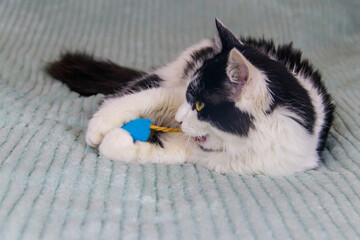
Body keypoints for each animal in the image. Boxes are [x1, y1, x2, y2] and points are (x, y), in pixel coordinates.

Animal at [46, 18, 336, 175]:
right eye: (191, 98)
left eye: (200, 105)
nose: (178, 118)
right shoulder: (176, 92)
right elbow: (144, 98)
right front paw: (100, 127)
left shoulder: (207, 155)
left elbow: (150, 151)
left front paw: (117, 139)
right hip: (172, 70)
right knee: (137, 85)